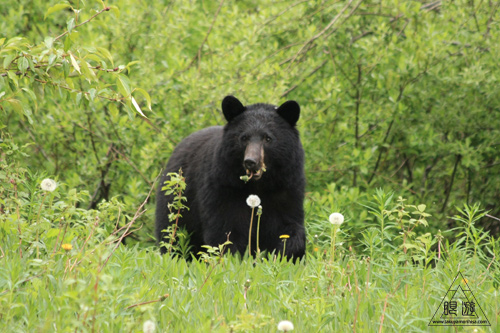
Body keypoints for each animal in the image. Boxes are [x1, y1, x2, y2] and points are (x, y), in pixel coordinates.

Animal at [155, 94, 304, 258]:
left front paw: (286, 253)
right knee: (172, 233)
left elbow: (287, 226)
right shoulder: (223, 186)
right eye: (244, 138)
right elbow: (226, 230)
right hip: (176, 203)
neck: (259, 185)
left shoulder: (286, 187)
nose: (250, 162)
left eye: (268, 138)